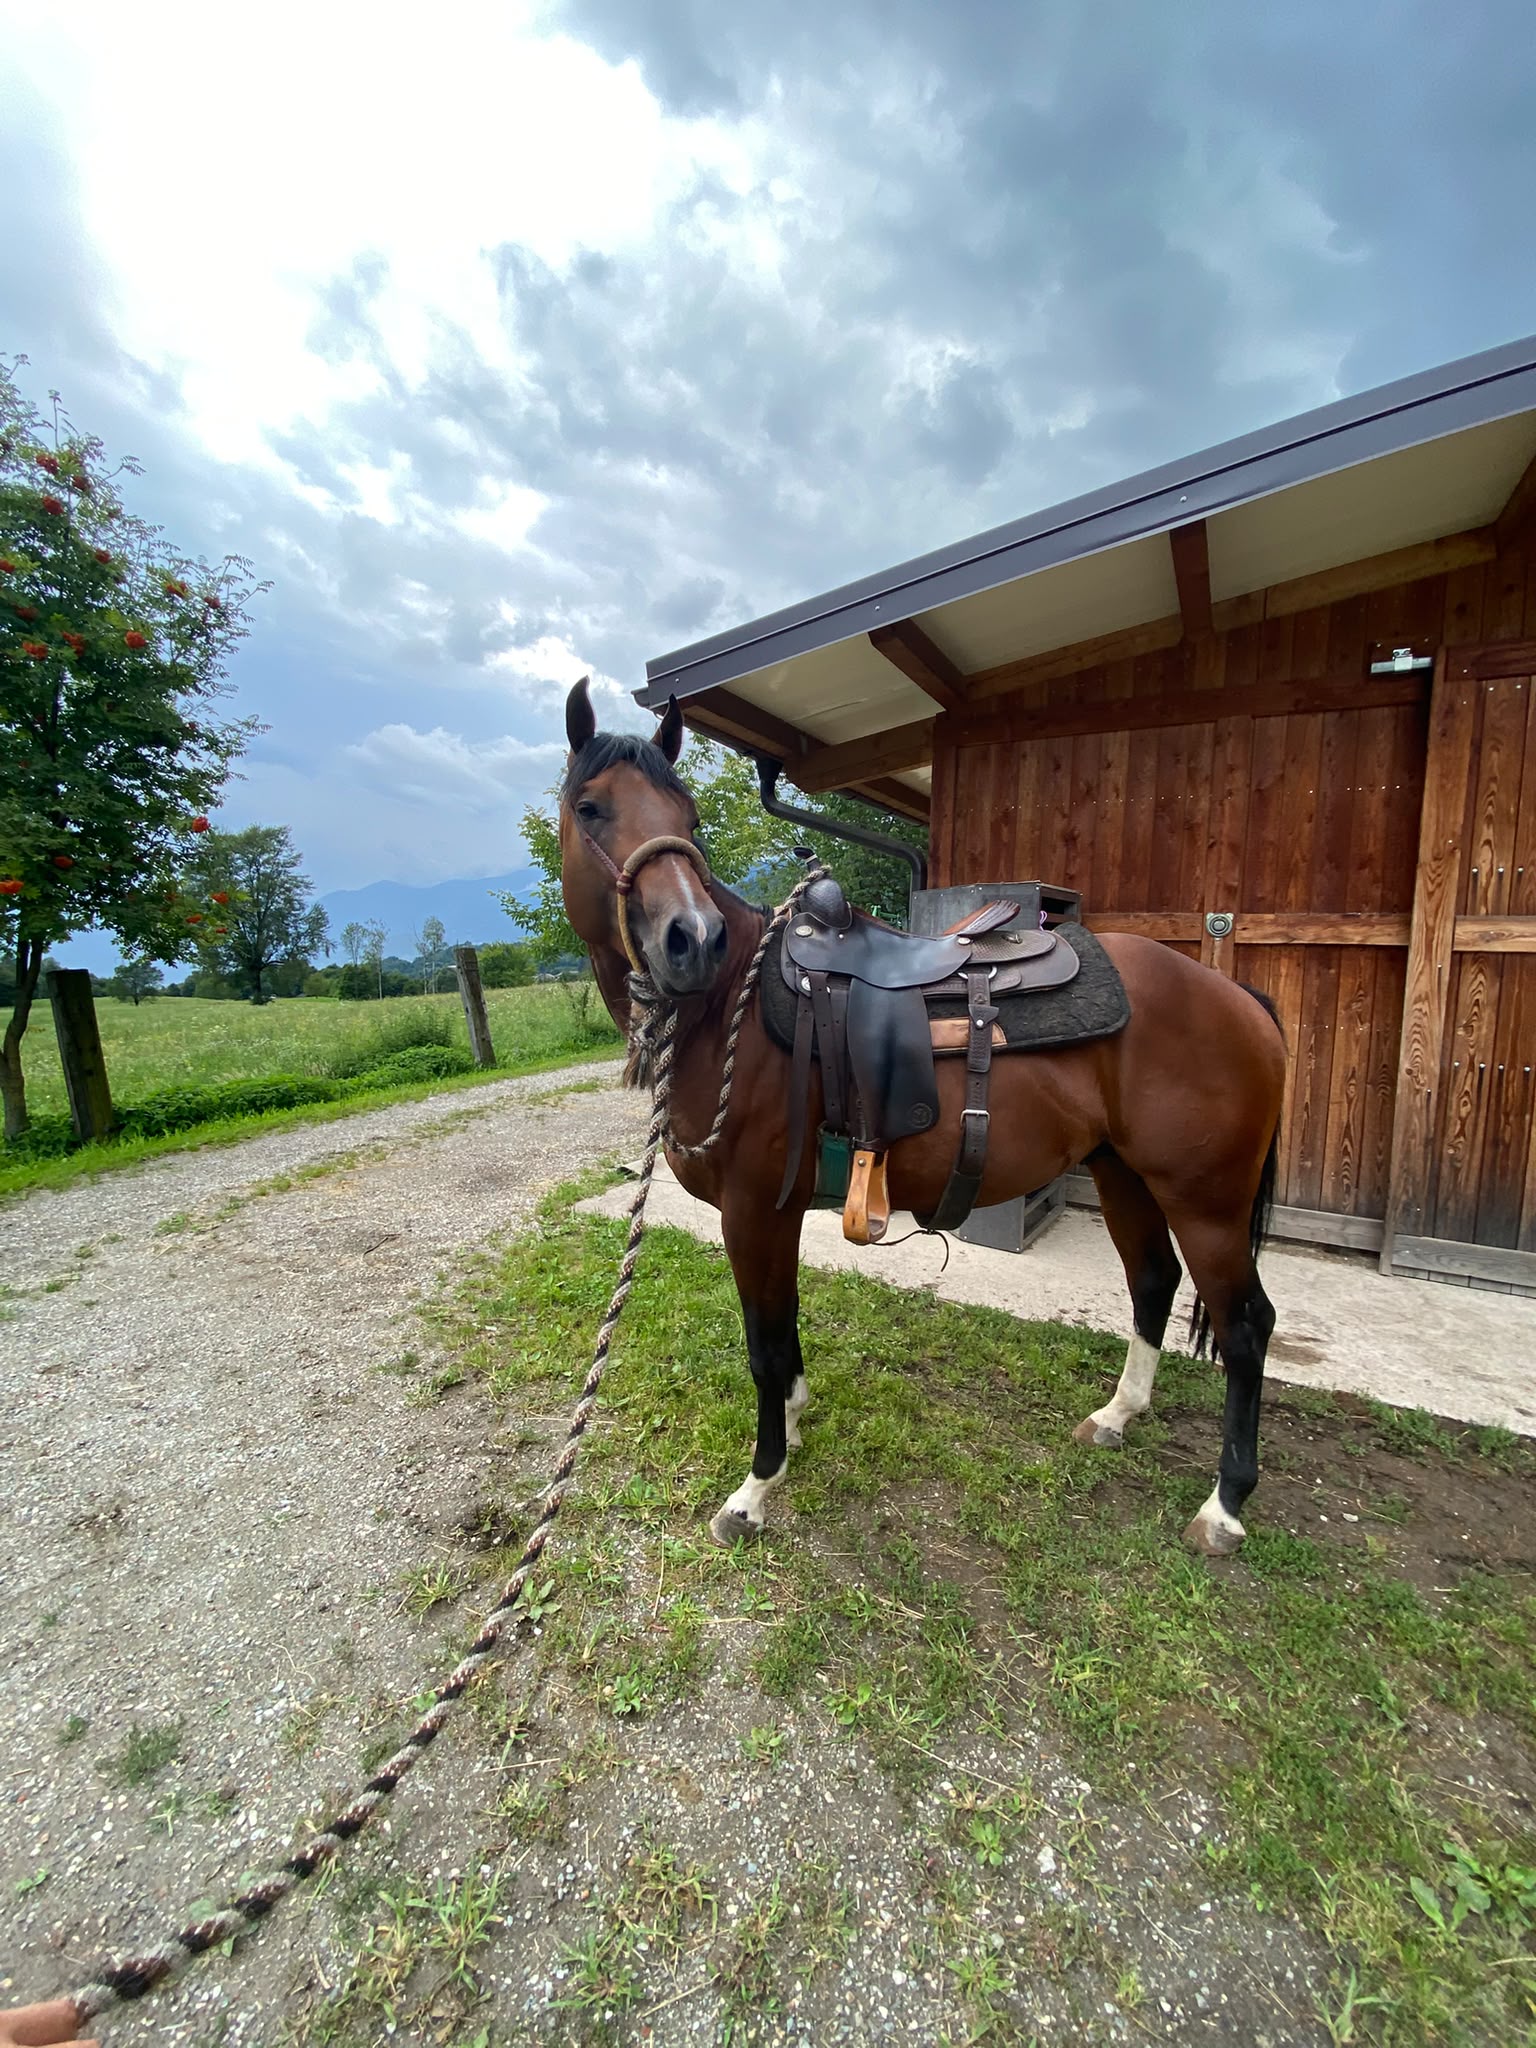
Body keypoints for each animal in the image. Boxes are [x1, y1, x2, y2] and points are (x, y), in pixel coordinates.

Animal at [558, 678, 1286, 1559]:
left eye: (688, 817)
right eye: (591, 808)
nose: (690, 939)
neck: (728, 1006)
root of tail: (1237, 997)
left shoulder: (753, 1210)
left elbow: (764, 1345)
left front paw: (757, 1487)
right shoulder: (777, 1216)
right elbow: (784, 1331)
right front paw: (793, 1426)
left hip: (1205, 1200)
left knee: (1246, 1327)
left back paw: (1225, 1505)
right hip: (1125, 1176)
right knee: (1153, 1283)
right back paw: (1117, 1416)